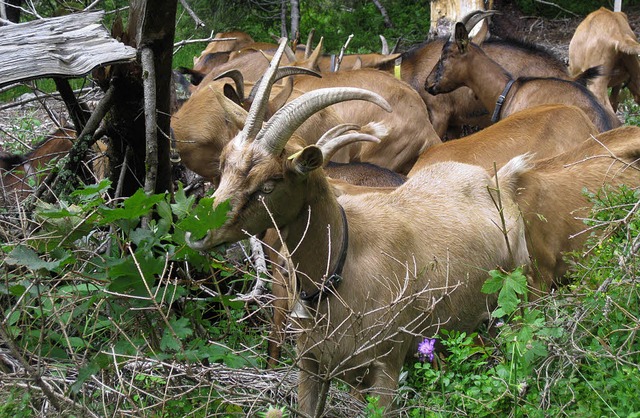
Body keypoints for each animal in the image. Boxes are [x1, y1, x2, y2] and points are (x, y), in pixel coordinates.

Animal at [186, 39, 528, 414]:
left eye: (269, 184)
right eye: (223, 164)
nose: (198, 231)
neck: (341, 265)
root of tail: (499, 180)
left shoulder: (385, 367)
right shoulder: (312, 364)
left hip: (515, 306)